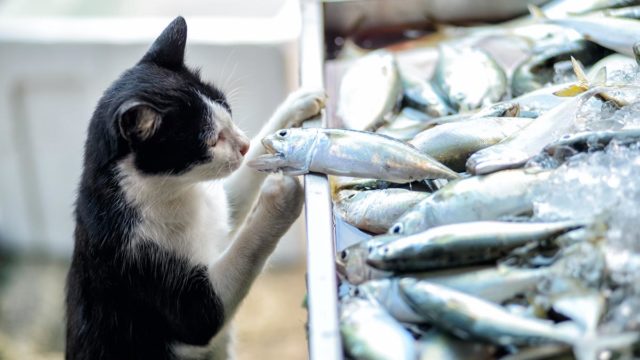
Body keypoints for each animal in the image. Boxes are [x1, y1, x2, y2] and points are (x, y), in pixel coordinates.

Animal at [65, 15, 324, 358]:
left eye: (228, 111)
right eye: (210, 140)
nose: (242, 144)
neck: (176, 191)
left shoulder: (218, 208)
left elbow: (237, 194)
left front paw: (294, 109)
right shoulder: (152, 278)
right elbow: (238, 261)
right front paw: (280, 197)